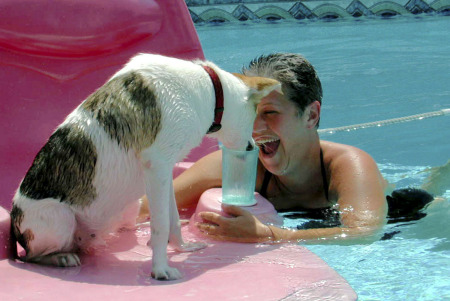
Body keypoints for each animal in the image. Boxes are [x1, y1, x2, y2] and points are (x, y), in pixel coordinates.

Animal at [8, 53, 280, 278]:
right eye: (255, 115)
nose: (250, 148)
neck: (208, 90)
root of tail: (13, 223)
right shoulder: (158, 166)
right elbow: (161, 226)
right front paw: (160, 269)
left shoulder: (165, 172)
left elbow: (171, 218)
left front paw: (182, 246)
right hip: (60, 218)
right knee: (30, 257)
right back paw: (60, 257)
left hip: (131, 204)